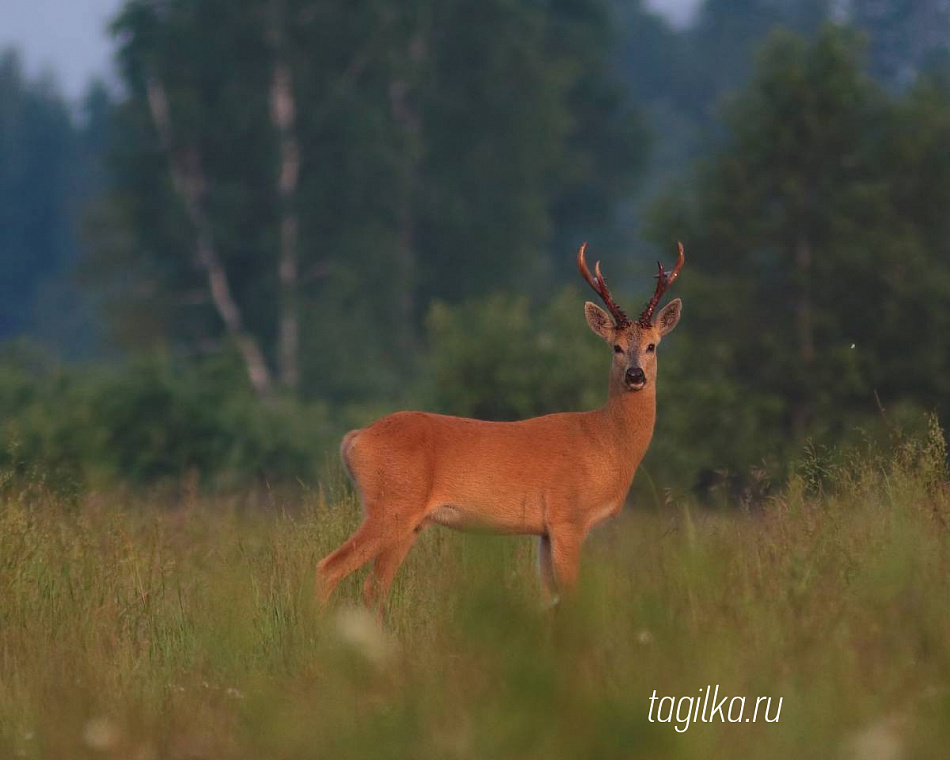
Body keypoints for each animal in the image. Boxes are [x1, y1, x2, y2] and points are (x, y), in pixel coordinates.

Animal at [318, 240, 684, 608]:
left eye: (652, 346)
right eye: (616, 347)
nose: (635, 376)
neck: (606, 442)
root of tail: (355, 438)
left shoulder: (545, 531)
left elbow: (551, 600)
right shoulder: (568, 518)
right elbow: (571, 596)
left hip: (408, 521)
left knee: (373, 587)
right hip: (392, 506)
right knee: (328, 568)